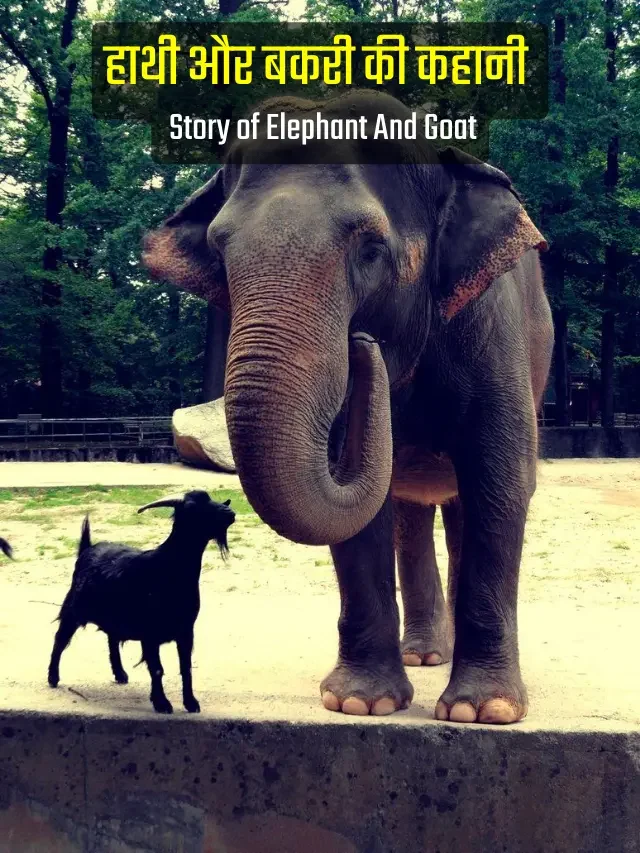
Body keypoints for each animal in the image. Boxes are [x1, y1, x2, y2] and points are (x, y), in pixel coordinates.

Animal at [47, 490, 235, 714]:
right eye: (192, 507)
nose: (230, 512)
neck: (170, 568)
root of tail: (86, 549)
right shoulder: (150, 634)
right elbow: (157, 669)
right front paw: (162, 703)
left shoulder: (186, 631)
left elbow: (186, 667)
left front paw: (191, 703)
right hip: (73, 610)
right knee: (60, 639)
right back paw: (53, 678)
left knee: (111, 639)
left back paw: (120, 674)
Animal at [143, 91, 554, 725]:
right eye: (217, 248)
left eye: (371, 249)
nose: (361, 345)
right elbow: (357, 502)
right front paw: (361, 702)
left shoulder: (490, 325)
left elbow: (501, 479)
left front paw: (482, 712)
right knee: (411, 510)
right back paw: (423, 655)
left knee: (463, 501)